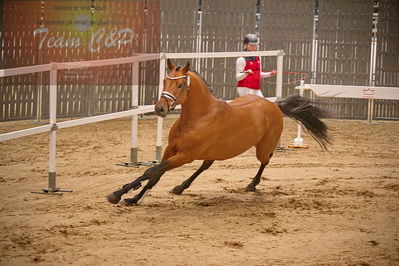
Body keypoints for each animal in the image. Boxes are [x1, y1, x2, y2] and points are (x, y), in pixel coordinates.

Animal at [107, 59, 332, 206]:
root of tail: (274, 105)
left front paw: (118, 194)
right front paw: (132, 198)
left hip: (263, 147)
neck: (196, 119)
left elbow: (152, 171)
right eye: (164, 81)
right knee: (206, 165)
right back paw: (181, 187)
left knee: (265, 160)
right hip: (215, 151)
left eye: (179, 84)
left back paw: (252, 185)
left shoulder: (185, 156)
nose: (160, 108)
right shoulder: (171, 150)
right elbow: (154, 174)